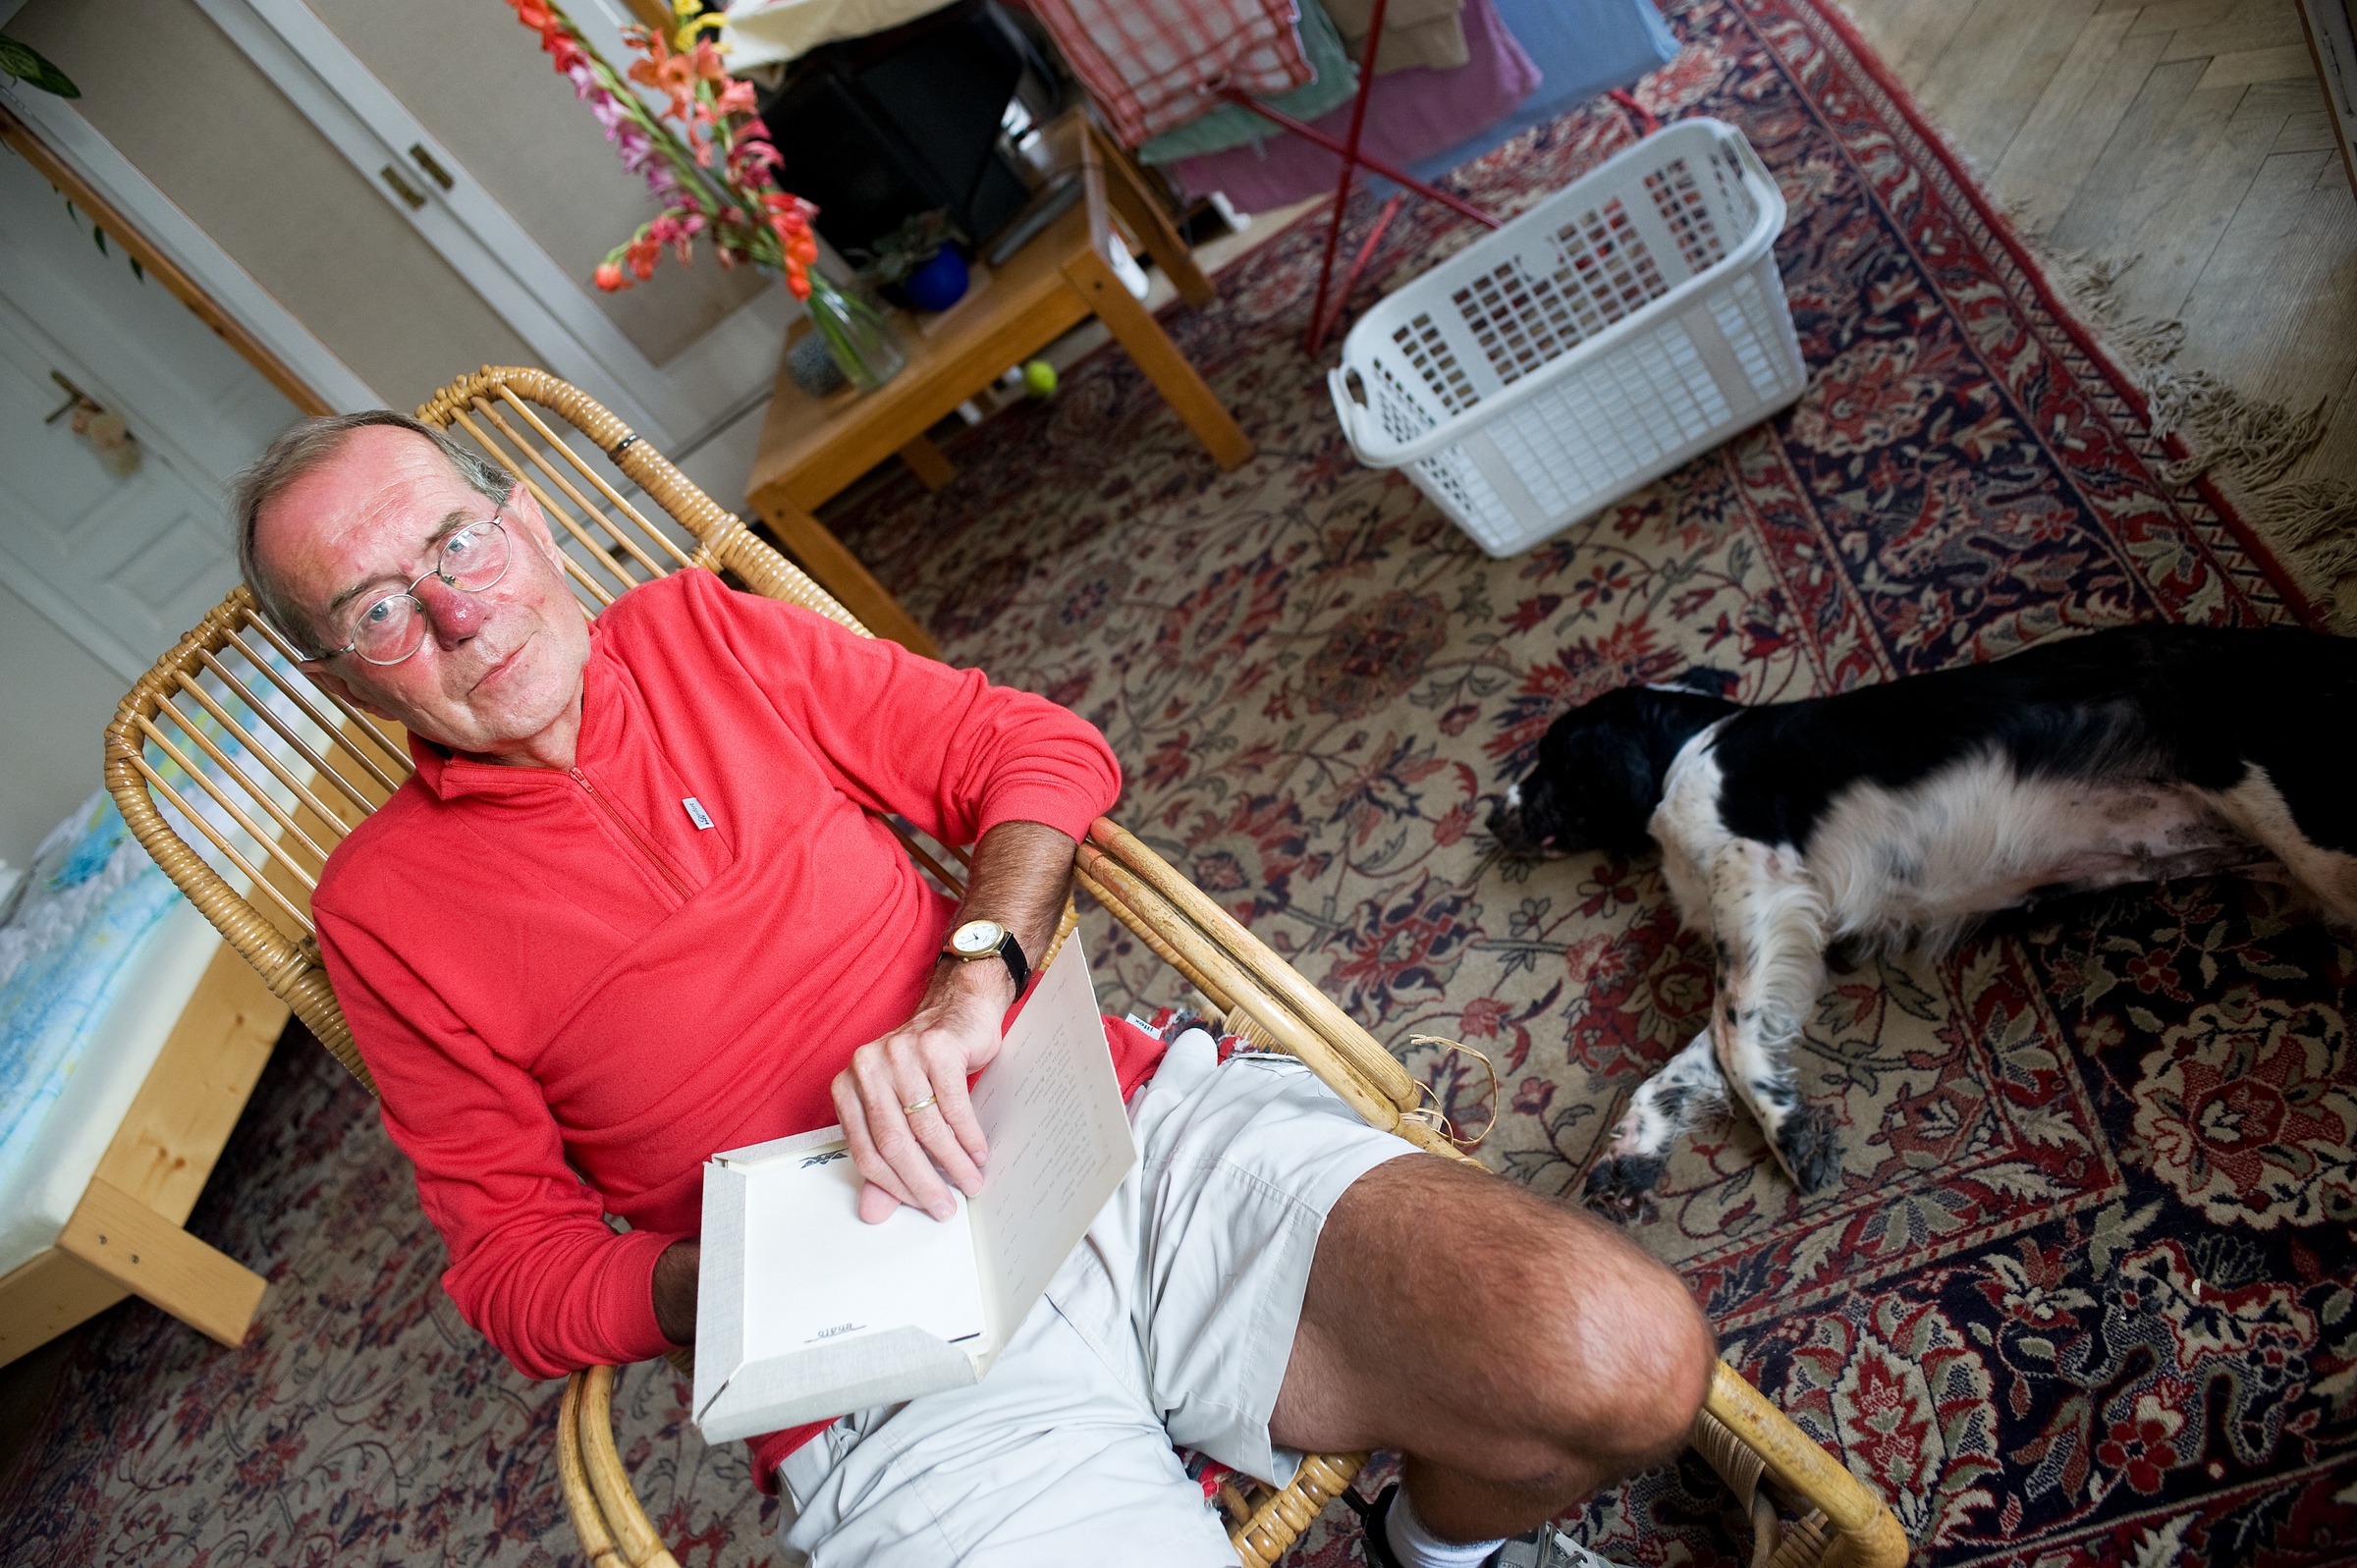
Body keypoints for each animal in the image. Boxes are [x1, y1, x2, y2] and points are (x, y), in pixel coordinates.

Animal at [1485, 623, 2357, 1219]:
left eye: (1550, 760)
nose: (1492, 816)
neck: (1687, 748)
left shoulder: (1761, 883)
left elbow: (1730, 1040)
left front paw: (1788, 1132)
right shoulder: (1783, 929)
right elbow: (1685, 1061)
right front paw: (1630, 1152)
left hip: (2301, 818)